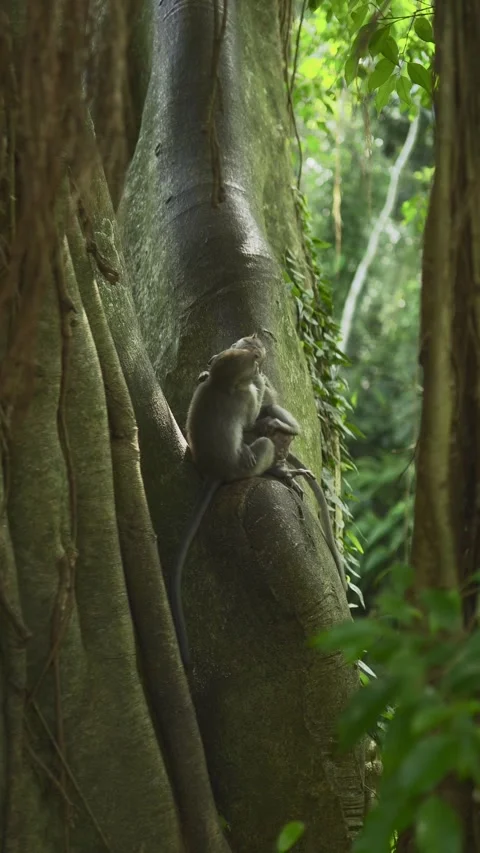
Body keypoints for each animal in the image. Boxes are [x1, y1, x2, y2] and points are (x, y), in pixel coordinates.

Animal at [170, 343, 277, 670]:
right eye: (250, 359)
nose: (258, 360)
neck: (220, 384)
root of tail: (215, 471)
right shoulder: (246, 398)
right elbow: (252, 419)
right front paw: (262, 385)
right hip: (241, 469)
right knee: (265, 445)